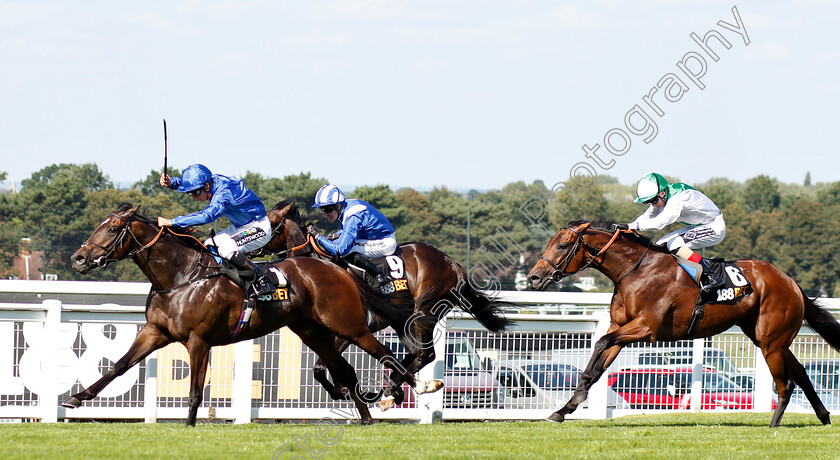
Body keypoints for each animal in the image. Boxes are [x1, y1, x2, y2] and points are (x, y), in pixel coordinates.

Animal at [64, 203, 440, 426]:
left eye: (113, 229)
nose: (79, 258)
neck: (182, 276)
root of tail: (338, 268)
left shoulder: (199, 340)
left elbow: (196, 390)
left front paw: (189, 426)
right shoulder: (155, 332)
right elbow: (118, 366)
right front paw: (76, 398)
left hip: (347, 326)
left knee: (389, 353)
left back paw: (416, 387)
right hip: (312, 331)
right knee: (345, 371)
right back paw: (366, 418)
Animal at [260, 199, 516, 408]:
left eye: (269, 224)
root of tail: (453, 264)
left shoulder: (351, 329)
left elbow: (324, 366)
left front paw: (349, 390)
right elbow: (320, 368)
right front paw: (343, 390)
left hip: (424, 312)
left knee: (425, 355)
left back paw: (393, 391)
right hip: (404, 320)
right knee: (414, 353)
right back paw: (393, 389)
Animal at [528, 219, 840, 428]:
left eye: (563, 245)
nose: (534, 277)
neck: (635, 270)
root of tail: (790, 281)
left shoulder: (647, 328)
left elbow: (602, 343)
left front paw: (574, 400)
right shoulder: (620, 327)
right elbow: (596, 363)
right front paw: (564, 409)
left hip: (771, 341)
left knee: (785, 383)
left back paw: (774, 426)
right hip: (768, 338)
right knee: (801, 373)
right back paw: (824, 417)